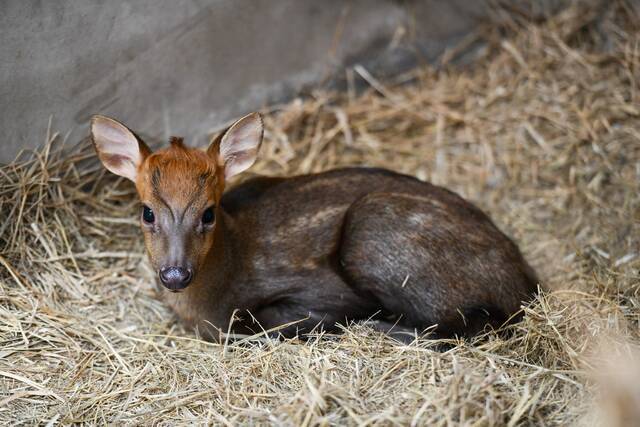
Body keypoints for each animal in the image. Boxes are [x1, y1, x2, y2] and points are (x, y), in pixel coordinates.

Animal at [91, 112, 540, 342]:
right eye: (147, 212)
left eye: (208, 213)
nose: (175, 274)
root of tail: (523, 283)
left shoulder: (317, 292)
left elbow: (271, 320)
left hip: (372, 230)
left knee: (464, 325)